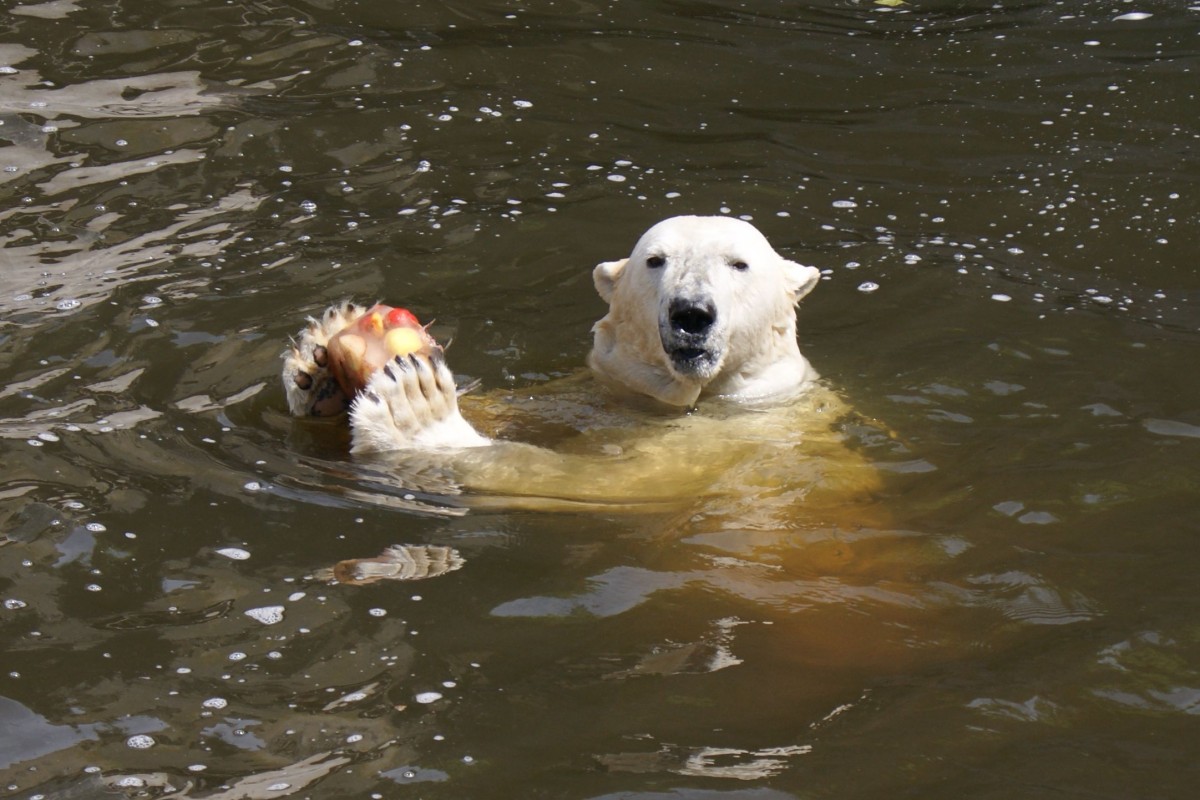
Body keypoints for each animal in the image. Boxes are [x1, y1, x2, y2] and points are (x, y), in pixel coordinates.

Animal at [280, 215, 883, 510]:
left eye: (740, 263)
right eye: (655, 259)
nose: (691, 313)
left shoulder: (735, 438)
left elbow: (605, 480)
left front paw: (419, 412)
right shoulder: (603, 391)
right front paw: (320, 365)